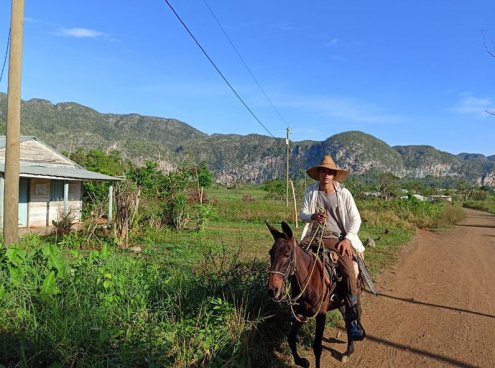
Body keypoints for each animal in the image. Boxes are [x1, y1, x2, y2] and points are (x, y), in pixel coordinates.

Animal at [268, 221, 364, 368]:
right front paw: (302, 361)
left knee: (353, 315)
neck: (309, 279)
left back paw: (351, 346)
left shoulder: (321, 314)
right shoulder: (300, 312)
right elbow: (291, 338)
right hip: (340, 301)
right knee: (347, 319)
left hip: (354, 294)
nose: (273, 290)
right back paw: (348, 350)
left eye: (287, 254)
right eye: (270, 253)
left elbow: (317, 347)